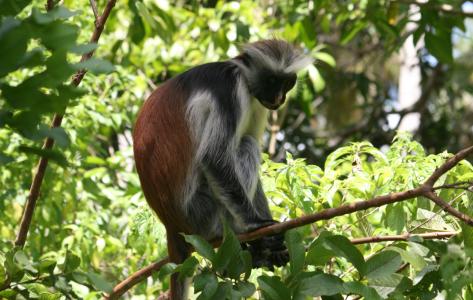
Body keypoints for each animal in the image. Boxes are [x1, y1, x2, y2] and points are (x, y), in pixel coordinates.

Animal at [132, 39, 310, 298]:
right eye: (271, 80)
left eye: (287, 82)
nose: (279, 98)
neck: (241, 76)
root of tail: (172, 224)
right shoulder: (229, 92)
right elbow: (214, 158)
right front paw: (255, 225)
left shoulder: (257, 102)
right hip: (203, 213)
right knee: (246, 146)